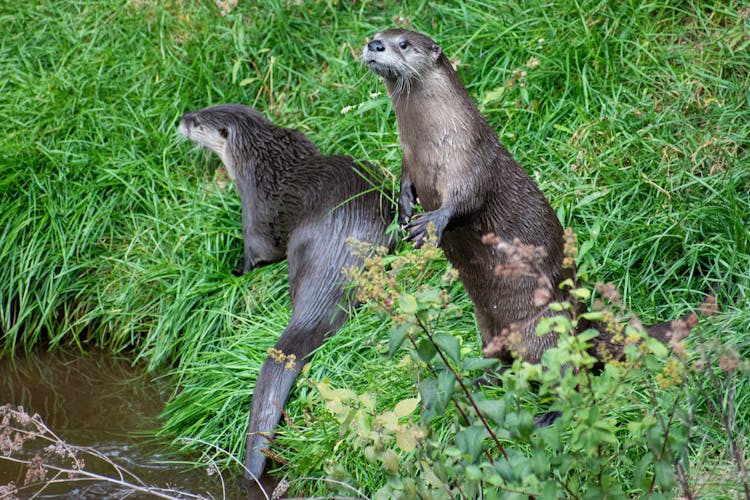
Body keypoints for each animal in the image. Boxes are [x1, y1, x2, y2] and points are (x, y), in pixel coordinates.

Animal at [180, 104, 396, 480]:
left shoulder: (254, 207)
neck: (260, 159)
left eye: (198, 122)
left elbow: (259, 250)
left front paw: (234, 272)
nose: (181, 118)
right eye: (199, 109)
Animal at [364, 28, 700, 372]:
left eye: (403, 44)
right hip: (486, 325)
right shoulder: (409, 160)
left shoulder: (469, 158)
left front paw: (430, 223)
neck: (431, 144)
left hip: (545, 327)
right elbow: (405, 182)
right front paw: (403, 211)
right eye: (375, 36)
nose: (373, 45)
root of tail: (585, 324)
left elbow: (466, 199)